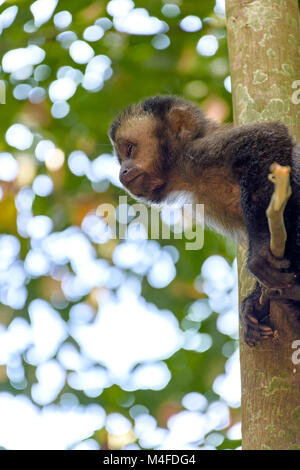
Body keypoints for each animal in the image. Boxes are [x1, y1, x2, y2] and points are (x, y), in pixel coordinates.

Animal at [109, 94, 300, 346]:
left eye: (130, 148)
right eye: (121, 158)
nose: (122, 171)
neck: (185, 176)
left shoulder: (202, 152)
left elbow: (269, 138)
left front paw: (261, 247)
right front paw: (252, 304)